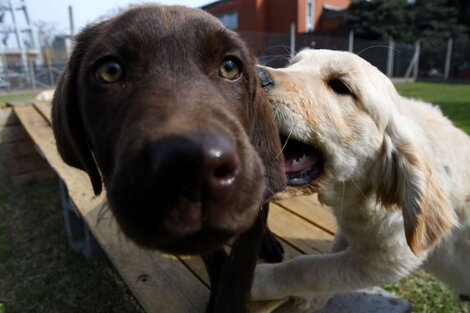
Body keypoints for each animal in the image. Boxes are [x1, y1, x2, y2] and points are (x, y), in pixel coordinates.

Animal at [252, 49, 470, 310]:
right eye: (290, 65)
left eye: (340, 86)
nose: (252, 74)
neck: (360, 195)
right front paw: (312, 299)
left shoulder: (387, 260)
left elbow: (309, 268)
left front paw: (257, 281)